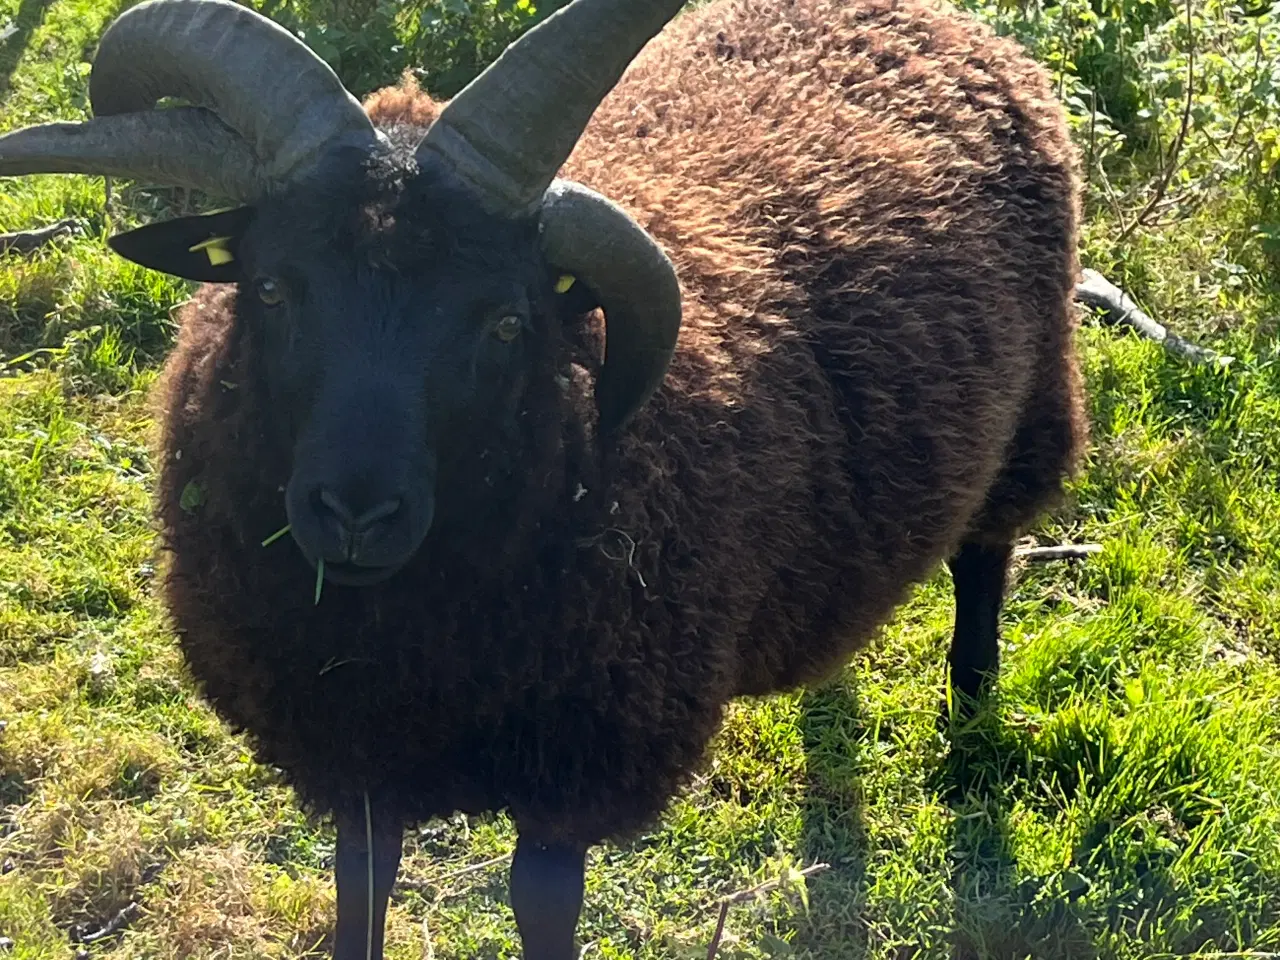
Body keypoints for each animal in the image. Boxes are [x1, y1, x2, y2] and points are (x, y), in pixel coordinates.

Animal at [0, 0, 1090, 957]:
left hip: (1033, 406)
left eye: (504, 321)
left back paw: (972, 716)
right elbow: (362, 891)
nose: (354, 512)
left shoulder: (575, 769)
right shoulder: (354, 752)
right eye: (270, 286)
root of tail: (939, 23)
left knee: (985, 557)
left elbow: (541, 911)